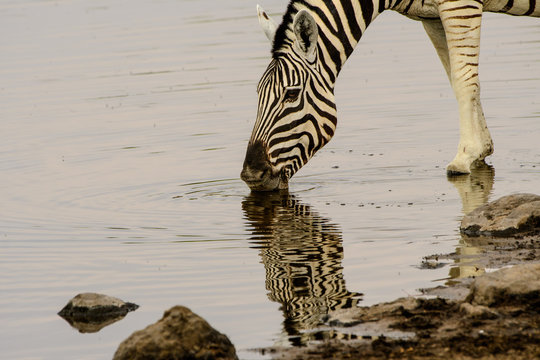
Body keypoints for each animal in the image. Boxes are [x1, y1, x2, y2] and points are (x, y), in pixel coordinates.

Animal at [242, 0, 540, 191]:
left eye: (291, 95)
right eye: (256, 94)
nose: (251, 176)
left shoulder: (460, 5)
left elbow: (463, 79)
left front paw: (464, 156)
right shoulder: (432, 16)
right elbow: (456, 75)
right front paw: (481, 148)